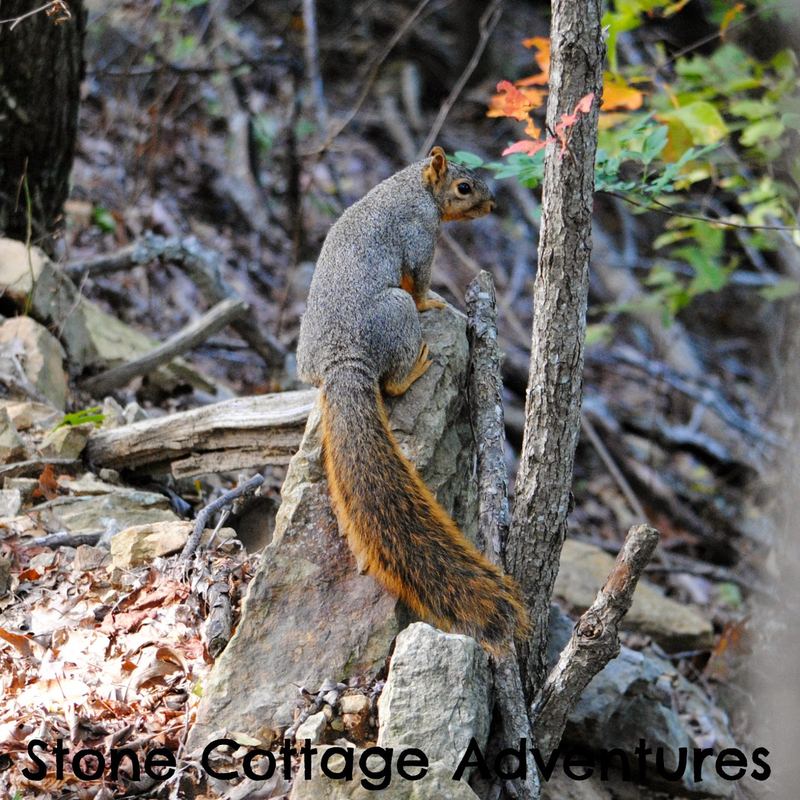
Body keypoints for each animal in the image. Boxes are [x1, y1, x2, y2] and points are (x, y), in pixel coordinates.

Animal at [297, 146, 529, 653]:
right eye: (464, 187)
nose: (493, 205)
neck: (411, 186)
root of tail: (343, 361)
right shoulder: (419, 235)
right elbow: (420, 281)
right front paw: (435, 301)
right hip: (396, 315)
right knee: (392, 382)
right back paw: (419, 365)